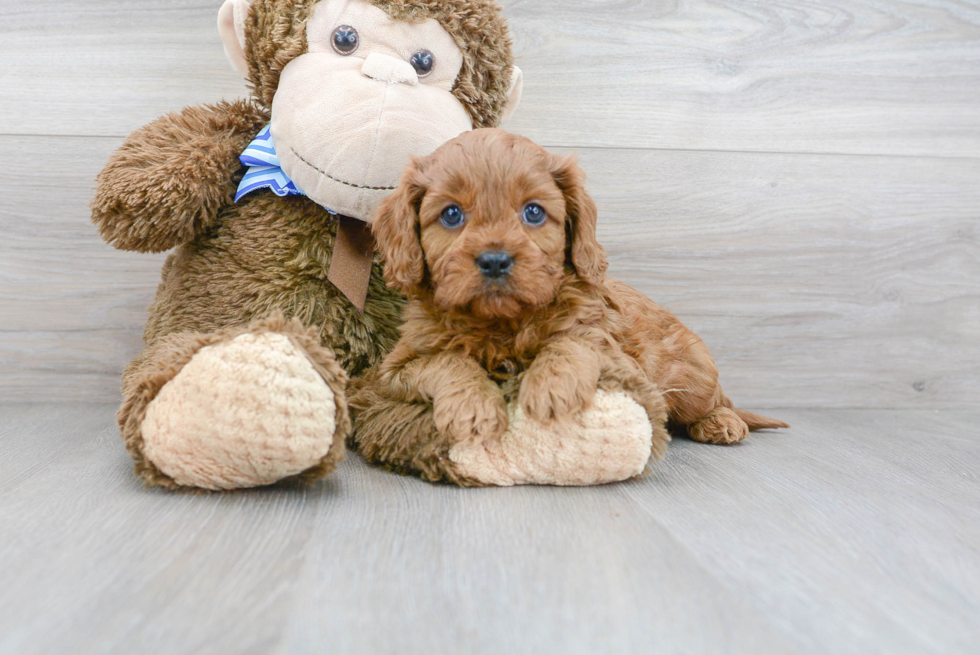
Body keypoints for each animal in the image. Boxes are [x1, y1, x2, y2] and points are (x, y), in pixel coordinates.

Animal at [358, 131, 788, 484]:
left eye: (533, 212)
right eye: (451, 214)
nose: (495, 260)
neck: (502, 322)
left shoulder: (608, 345)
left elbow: (570, 342)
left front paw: (551, 388)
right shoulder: (396, 367)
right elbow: (447, 360)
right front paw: (474, 408)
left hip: (694, 374)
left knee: (712, 403)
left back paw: (722, 422)